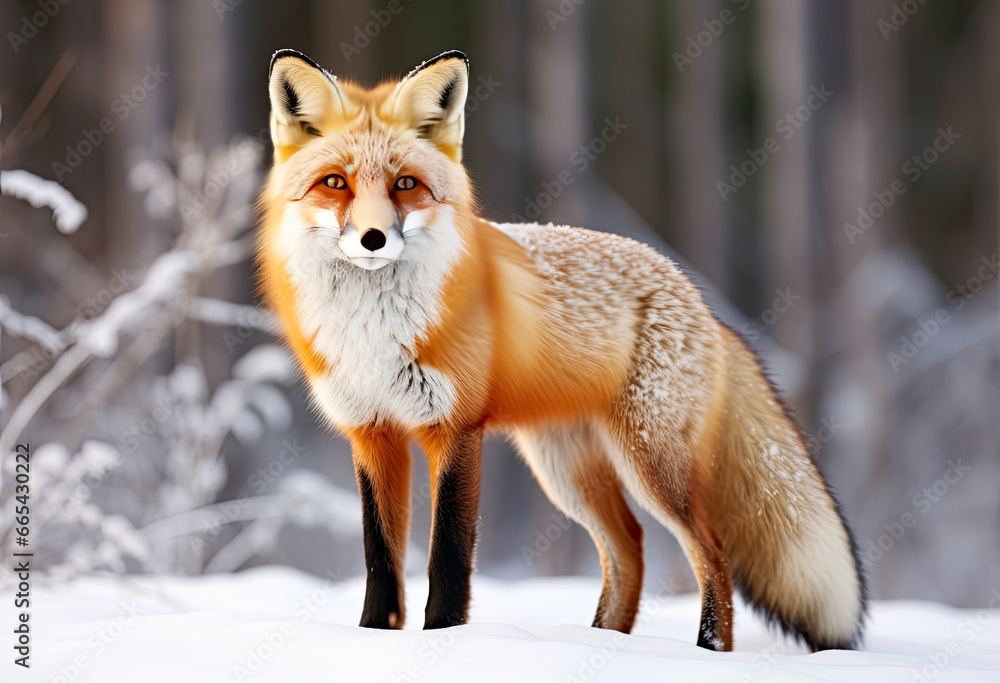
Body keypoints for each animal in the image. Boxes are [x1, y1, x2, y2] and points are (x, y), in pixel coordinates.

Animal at [257, 48, 866, 652]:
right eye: (335, 182)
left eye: (405, 183)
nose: (373, 239)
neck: (373, 334)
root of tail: (700, 299)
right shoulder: (372, 434)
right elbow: (380, 562)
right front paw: (372, 642)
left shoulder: (455, 429)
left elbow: (447, 560)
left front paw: (444, 645)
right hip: (566, 470)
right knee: (630, 549)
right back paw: (603, 644)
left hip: (649, 464)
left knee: (711, 554)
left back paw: (705, 651)